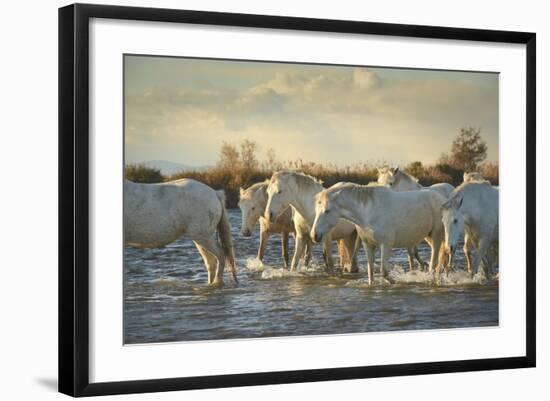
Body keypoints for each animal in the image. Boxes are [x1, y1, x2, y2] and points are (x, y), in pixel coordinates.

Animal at [310, 183, 448, 282]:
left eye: (327, 211)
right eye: (316, 210)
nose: (314, 235)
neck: (369, 212)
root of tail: (442, 198)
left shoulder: (385, 245)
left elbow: (384, 272)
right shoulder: (368, 245)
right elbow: (371, 272)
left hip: (436, 236)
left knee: (434, 263)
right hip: (428, 237)